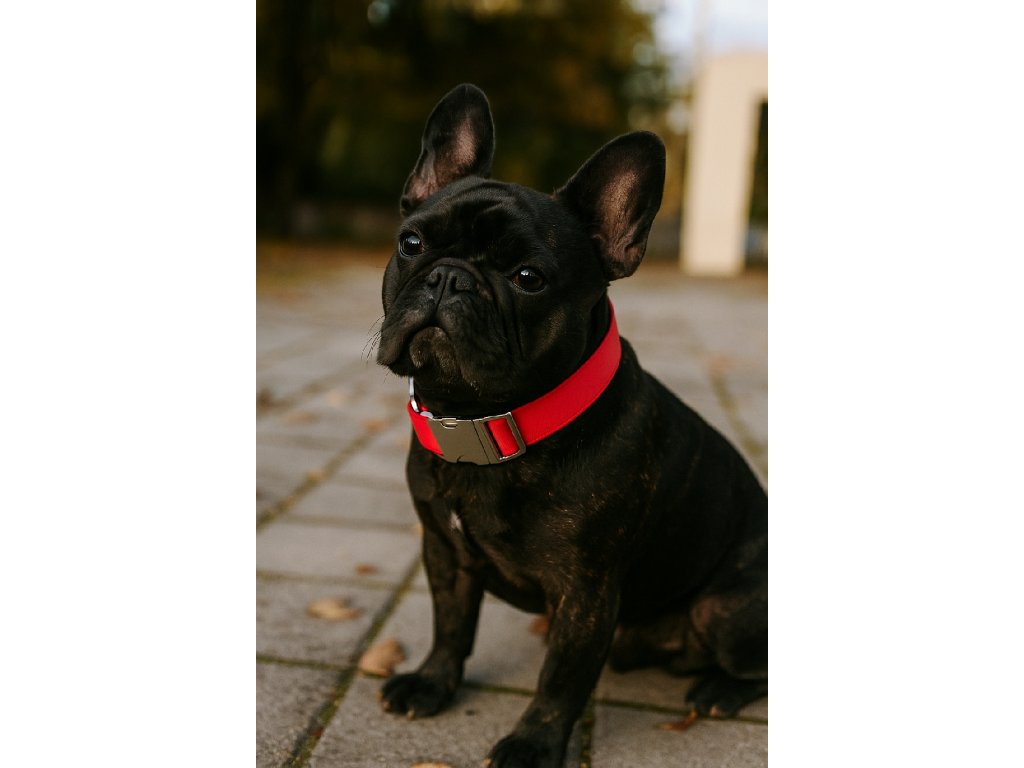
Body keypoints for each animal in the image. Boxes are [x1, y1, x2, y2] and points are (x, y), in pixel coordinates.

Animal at [375, 84, 767, 768]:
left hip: (726, 611)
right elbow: (451, 626)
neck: (484, 422)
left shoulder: (585, 592)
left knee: (754, 664)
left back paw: (718, 690)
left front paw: (532, 744)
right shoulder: (444, 552)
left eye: (529, 279)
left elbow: (560, 677)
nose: (450, 277)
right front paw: (431, 683)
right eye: (413, 244)